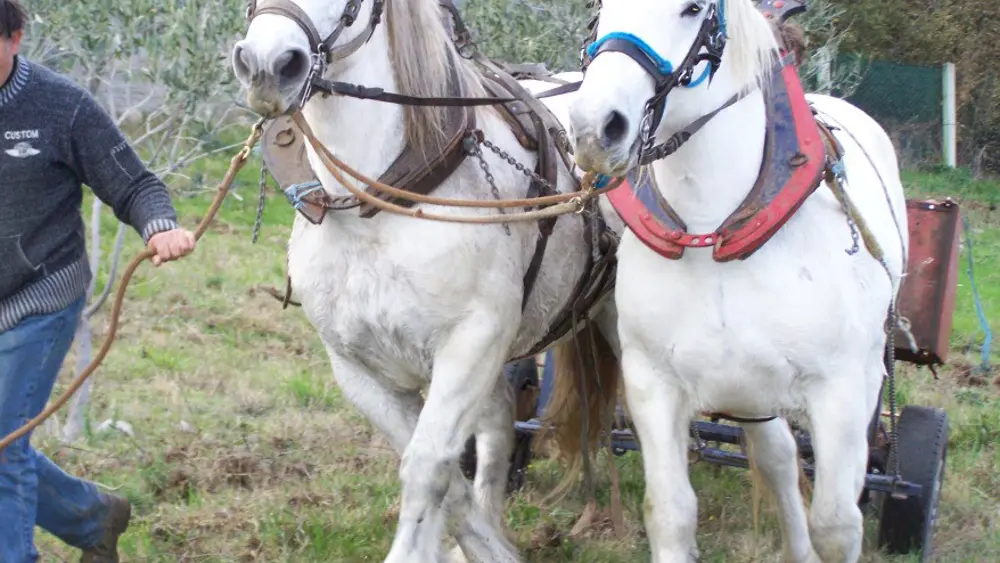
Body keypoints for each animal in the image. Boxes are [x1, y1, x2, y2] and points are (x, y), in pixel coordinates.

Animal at [234, 0, 624, 560]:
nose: (267, 65)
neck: (381, 205)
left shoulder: (471, 344)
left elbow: (427, 465)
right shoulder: (356, 367)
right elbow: (447, 474)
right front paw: (482, 547)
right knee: (498, 426)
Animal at [564, 0, 908, 560]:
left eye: (693, 9)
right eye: (599, 9)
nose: (596, 128)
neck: (712, 228)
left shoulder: (839, 390)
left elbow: (837, 523)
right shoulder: (652, 383)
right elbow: (671, 514)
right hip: (753, 392)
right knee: (779, 458)